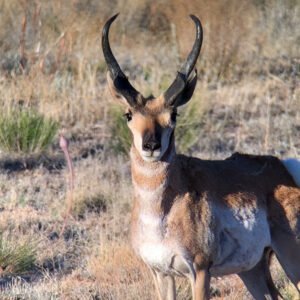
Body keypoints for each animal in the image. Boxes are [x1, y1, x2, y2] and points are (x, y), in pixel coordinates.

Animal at [101, 14, 300, 300]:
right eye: (129, 114)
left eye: (173, 114)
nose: (151, 146)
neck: (162, 210)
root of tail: (284, 168)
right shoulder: (161, 274)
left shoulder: (200, 271)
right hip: (252, 269)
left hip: (291, 258)